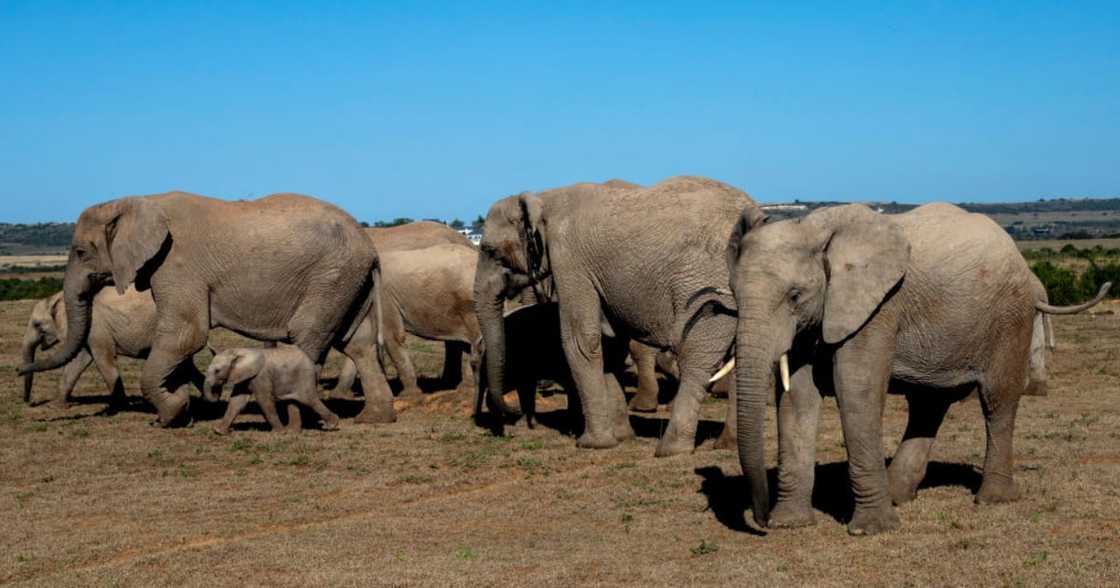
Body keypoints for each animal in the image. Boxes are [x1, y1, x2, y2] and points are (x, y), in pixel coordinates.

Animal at [21, 287, 204, 407]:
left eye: (37, 325)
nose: (29, 402)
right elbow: (78, 361)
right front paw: (56, 405)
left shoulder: (96, 326)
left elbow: (102, 358)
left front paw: (121, 406)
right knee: (187, 366)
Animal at [205, 346, 339, 434]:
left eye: (217, 371)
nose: (217, 392)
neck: (239, 351)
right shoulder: (245, 376)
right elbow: (237, 401)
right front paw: (219, 431)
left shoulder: (261, 375)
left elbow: (264, 400)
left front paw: (278, 433)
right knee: (292, 401)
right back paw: (292, 431)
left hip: (305, 377)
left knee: (310, 400)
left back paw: (331, 425)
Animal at [475, 176, 764, 456]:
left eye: (490, 251)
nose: (512, 417)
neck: (544, 197)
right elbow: (610, 343)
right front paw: (623, 437)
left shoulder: (569, 262)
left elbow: (581, 340)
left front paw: (593, 444)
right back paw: (727, 444)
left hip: (708, 288)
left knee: (697, 357)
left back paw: (671, 449)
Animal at [721, 202, 1111, 535]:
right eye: (734, 294)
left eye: (795, 295)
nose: (760, 520)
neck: (815, 228)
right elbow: (797, 398)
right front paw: (790, 523)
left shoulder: (879, 307)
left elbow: (856, 390)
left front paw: (871, 530)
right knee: (928, 404)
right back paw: (899, 495)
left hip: (1011, 316)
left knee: (997, 401)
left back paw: (992, 499)